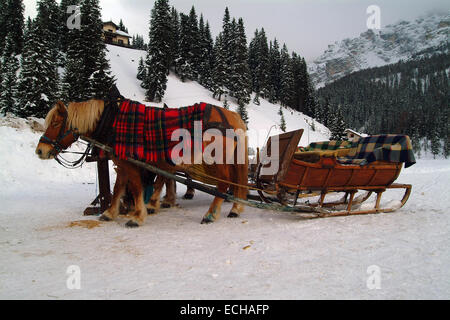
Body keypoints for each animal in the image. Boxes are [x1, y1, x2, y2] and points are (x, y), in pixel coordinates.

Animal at [36, 100, 248, 228]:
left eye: (56, 123)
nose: (40, 150)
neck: (112, 121)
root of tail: (232, 117)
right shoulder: (122, 162)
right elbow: (119, 187)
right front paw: (110, 213)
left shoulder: (132, 164)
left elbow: (137, 187)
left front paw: (138, 216)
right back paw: (235, 208)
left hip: (216, 160)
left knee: (224, 184)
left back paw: (210, 214)